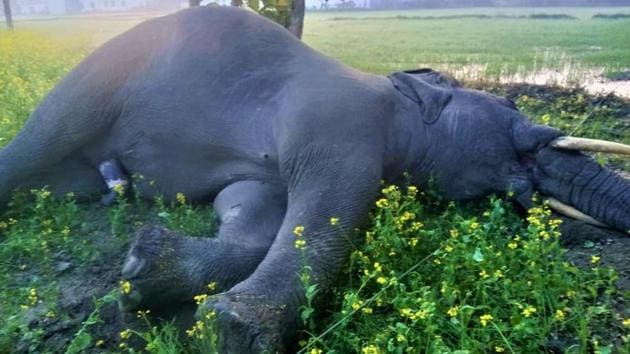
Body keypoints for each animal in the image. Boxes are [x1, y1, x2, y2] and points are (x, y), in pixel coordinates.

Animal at [0, 5, 628, 354]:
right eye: (514, 114)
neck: (398, 98)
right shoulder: (337, 121)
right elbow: (331, 209)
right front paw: (227, 331)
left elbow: (253, 214)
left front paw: (142, 271)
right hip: (96, 81)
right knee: (35, 145)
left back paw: (118, 188)